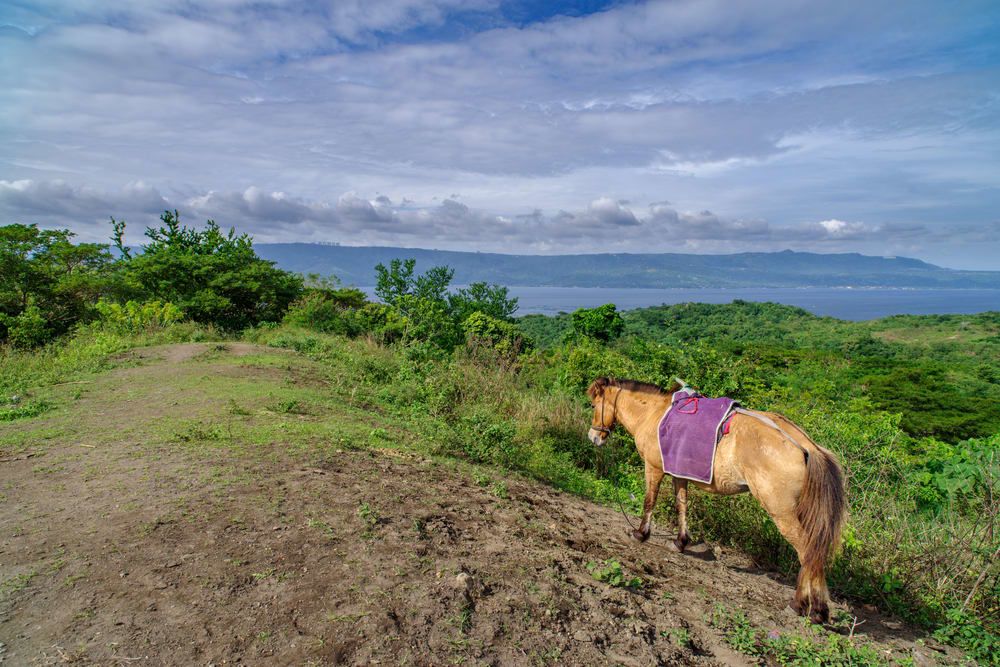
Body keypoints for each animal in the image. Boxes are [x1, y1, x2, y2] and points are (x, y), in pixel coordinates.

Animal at [588, 380, 848, 628]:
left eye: (593, 405)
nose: (593, 437)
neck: (653, 414)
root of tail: (806, 446)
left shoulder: (654, 468)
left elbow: (649, 500)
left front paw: (641, 534)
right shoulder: (679, 473)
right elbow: (681, 505)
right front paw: (681, 542)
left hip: (781, 512)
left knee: (806, 552)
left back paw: (804, 606)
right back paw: (815, 609)